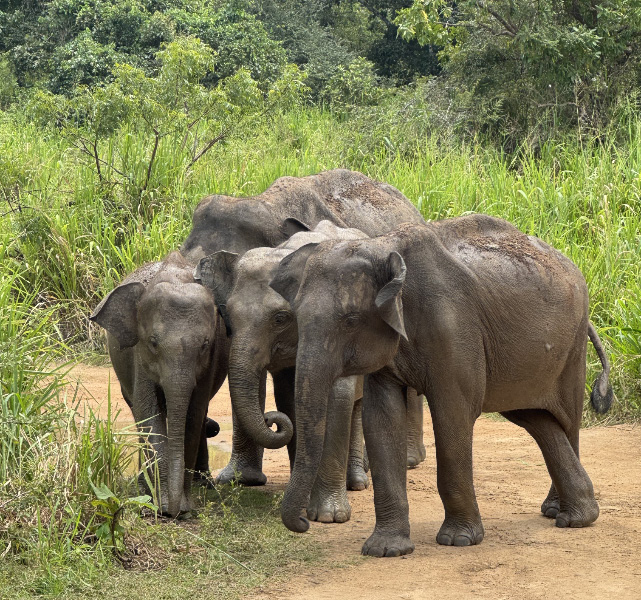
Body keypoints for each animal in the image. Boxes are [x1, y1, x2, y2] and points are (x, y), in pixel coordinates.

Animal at [89, 252, 238, 517]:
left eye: (205, 344)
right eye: (153, 343)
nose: (175, 512)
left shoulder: (209, 362)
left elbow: (193, 414)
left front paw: (183, 509)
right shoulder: (139, 357)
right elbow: (149, 412)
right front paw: (162, 506)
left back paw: (204, 484)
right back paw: (145, 488)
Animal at [268, 213, 613, 557]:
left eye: (351, 319)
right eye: (294, 317)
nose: (305, 522)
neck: (383, 247)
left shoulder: (454, 327)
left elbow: (453, 414)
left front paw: (459, 540)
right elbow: (382, 419)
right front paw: (386, 549)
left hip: (573, 346)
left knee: (566, 419)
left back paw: (563, 515)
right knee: (533, 415)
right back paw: (576, 511)